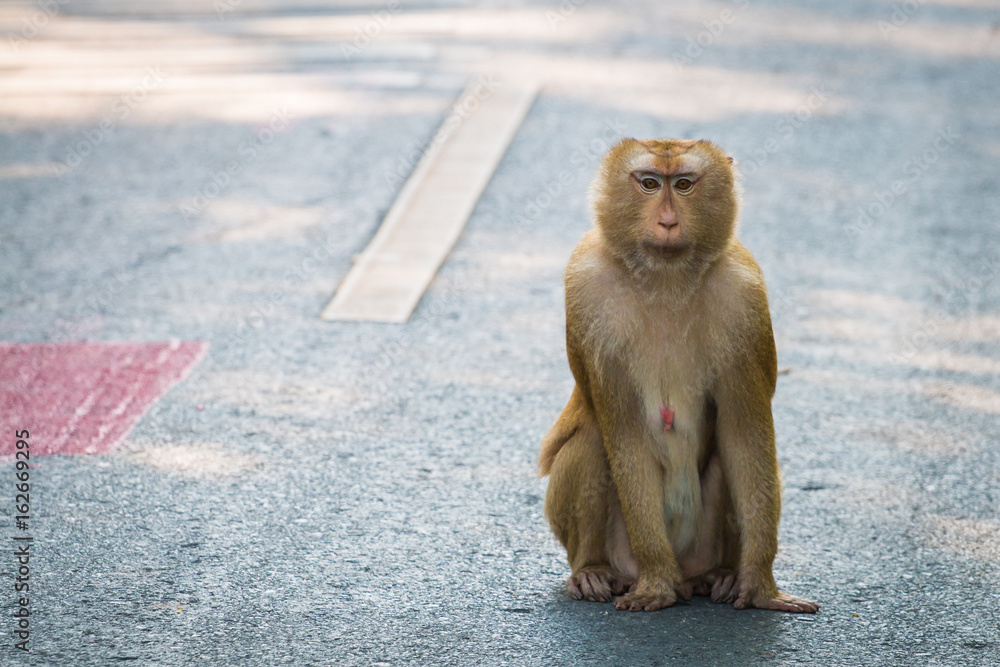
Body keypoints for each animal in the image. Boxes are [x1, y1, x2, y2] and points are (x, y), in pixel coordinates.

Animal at [539, 138, 818, 613]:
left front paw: (760, 586)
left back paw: (718, 575)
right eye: (650, 184)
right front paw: (657, 581)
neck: (665, 277)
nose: (668, 221)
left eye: (684, 185)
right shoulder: (588, 290)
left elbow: (744, 433)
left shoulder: (744, 296)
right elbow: (624, 432)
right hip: (617, 547)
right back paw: (595, 570)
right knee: (592, 438)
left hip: (700, 545)